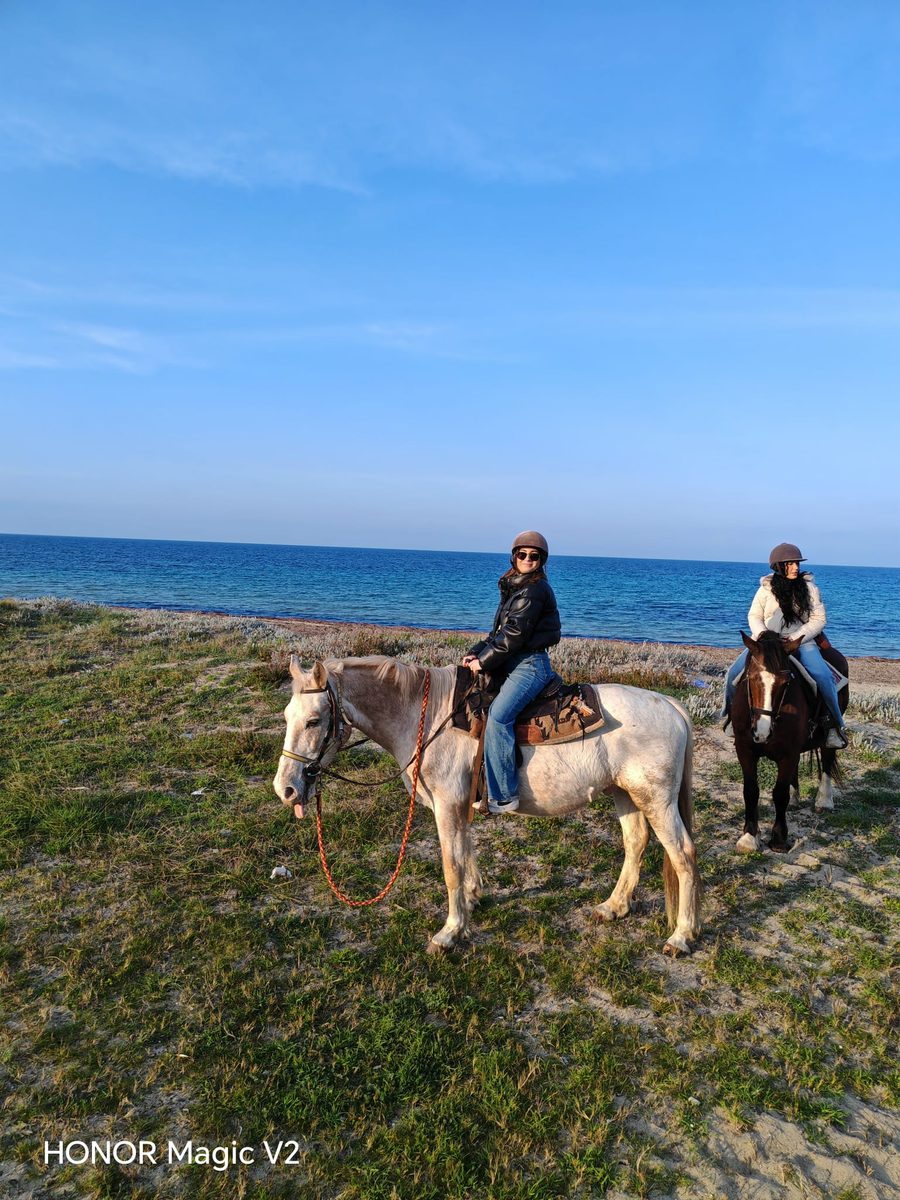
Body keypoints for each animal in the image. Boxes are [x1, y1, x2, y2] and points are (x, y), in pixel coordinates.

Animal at [273, 655, 702, 956]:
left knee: (683, 855)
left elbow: (450, 866)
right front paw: (472, 899)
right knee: (636, 843)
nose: (286, 789)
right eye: (287, 715)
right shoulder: (454, 805)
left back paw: (681, 936)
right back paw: (613, 906)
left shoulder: (447, 804)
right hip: (624, 794)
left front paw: (449, 932)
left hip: (656, 799)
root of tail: (671, 706)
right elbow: (465, 852)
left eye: (314, 721)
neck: (426, 717)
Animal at [730, 631, 848, 854]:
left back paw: (824, 801)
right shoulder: (745, 750)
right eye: (752, 678)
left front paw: (778, 838)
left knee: (827, 760)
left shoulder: (788, 753)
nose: (762, 732)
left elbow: (779, 793)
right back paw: (795, 799)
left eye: (785, 683)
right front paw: (749, 836)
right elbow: (751, 790)